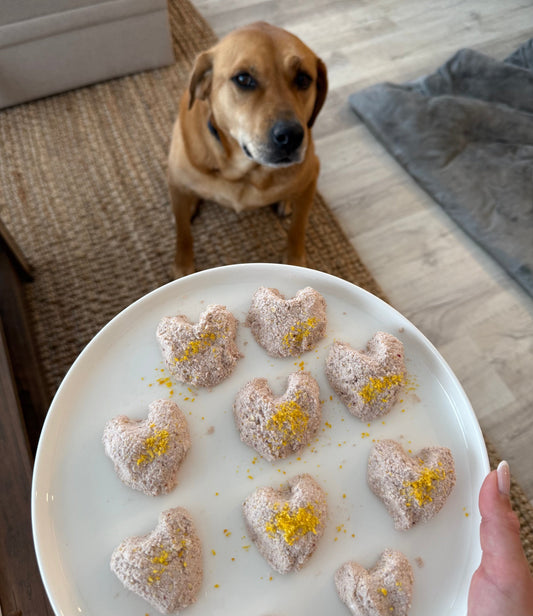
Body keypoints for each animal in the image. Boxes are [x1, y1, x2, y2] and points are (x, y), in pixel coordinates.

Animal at [169, 21, 328, 276]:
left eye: (303, 79)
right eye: (243, 79)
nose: (292, 136)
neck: (244, 171)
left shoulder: (312, 176)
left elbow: (298, 228)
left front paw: (295, 261)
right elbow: (184, 235)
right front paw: (183, 267)